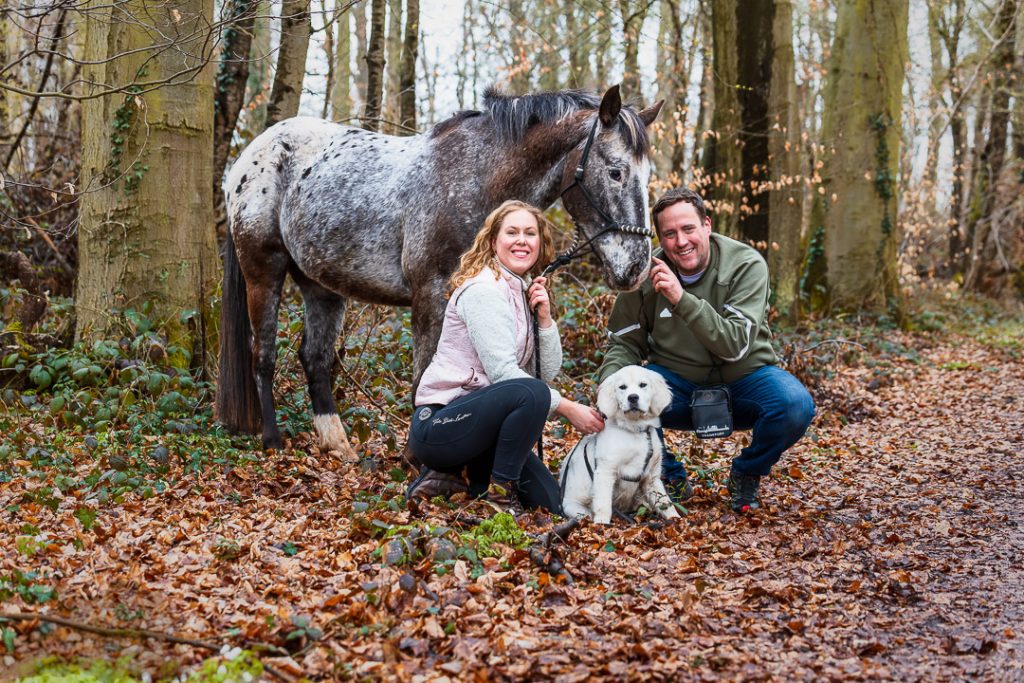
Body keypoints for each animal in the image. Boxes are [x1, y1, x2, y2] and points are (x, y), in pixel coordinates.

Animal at [217, 85, 663, 455]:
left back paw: (337, 444)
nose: (636, 266)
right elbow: (423, 381)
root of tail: (248, 158)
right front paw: (418, 462)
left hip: (320, 286)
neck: (479, 179)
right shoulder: (431, 296)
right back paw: (272, 440)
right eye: (616, 171)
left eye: (647, 175)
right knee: (264, 354)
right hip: (263, 270)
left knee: (314, 358)